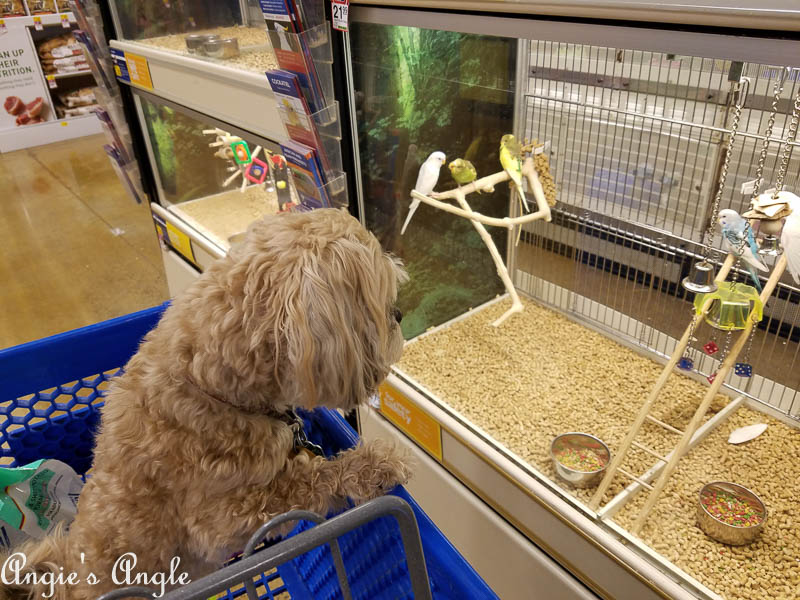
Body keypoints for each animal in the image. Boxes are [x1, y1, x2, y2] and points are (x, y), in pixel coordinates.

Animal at [6, 209, 416, 596]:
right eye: (376, 298)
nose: (398, 314)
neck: (207, 385)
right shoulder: (221, 520)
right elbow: (304, 481)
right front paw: (373, 464)